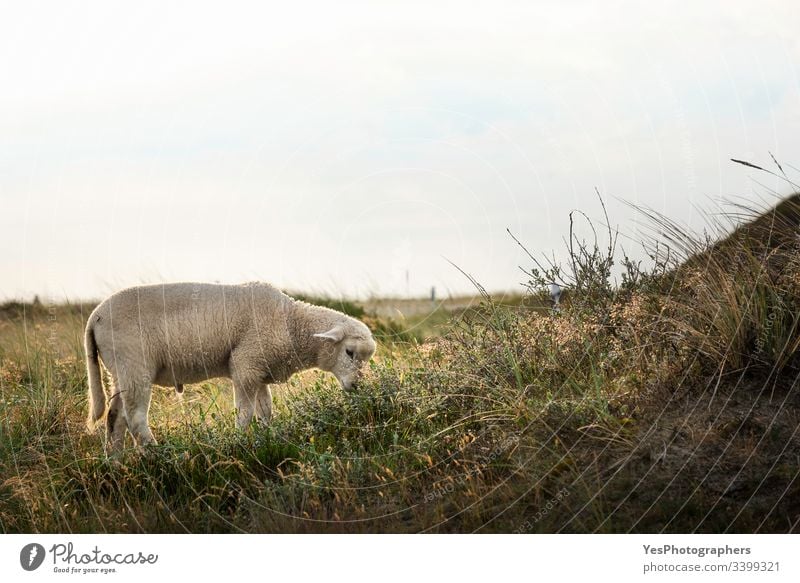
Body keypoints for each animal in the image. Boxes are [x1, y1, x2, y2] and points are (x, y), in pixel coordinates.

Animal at [84, 282, 378, 452]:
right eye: (349, 352)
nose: (357, 386)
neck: (289, 322)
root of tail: (94, 317)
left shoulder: (259, 370)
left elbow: (265, 412)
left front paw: (267, 439)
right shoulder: (245, 365)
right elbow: (245, 414)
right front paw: (240, 442)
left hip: (119, 373)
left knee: (115, 418)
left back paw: (116, 463)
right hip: (134, 366)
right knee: (135, 419)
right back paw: (158, 456)